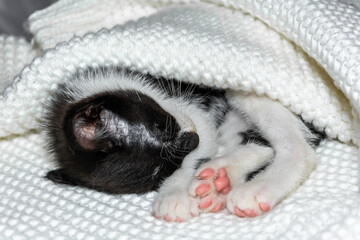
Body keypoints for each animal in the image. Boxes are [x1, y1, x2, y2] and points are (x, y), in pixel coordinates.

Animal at [43, 66, 324, 222]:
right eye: (160, 172)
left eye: (160, 126)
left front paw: (173, 194)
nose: (192, 140)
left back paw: (256, 190)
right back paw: (220, 180)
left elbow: (202, 141)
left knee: (298, 148)